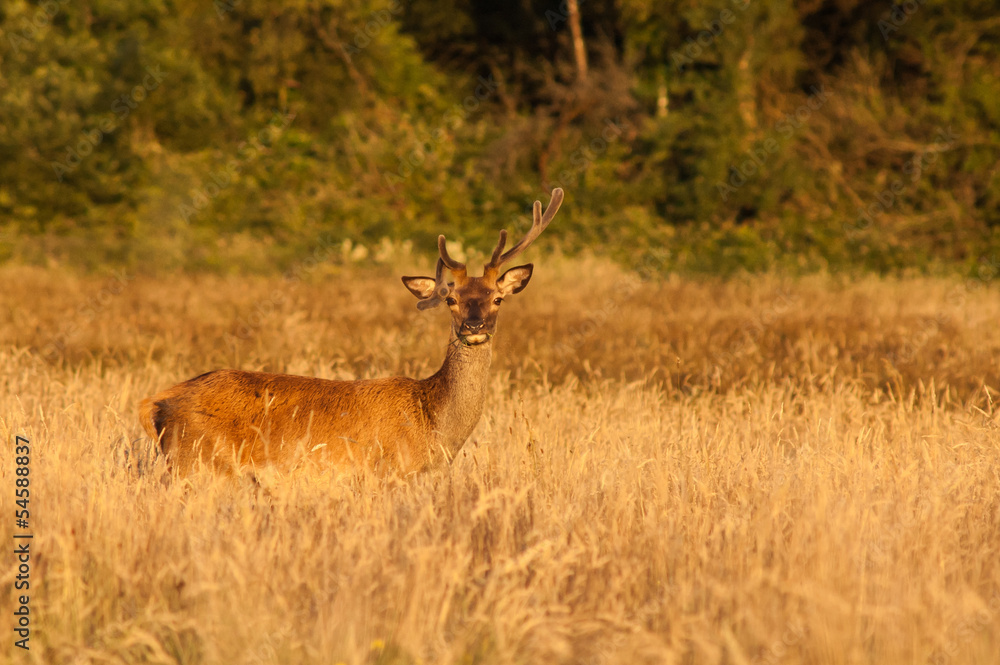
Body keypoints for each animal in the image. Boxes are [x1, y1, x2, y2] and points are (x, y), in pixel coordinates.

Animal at [139, 188, 564, 475]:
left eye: (497, 298)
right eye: (451, 300)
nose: (473, 326)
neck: (433, 423)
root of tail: (157, 402)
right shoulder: (387, 472)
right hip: (197, 462)